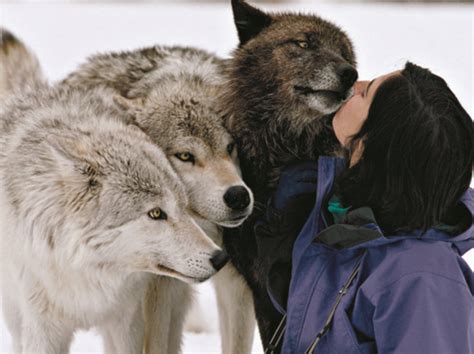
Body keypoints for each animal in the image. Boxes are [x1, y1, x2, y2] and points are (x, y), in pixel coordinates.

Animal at [0, 29, 228, 354]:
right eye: (156, 213)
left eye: (183, 207)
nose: (220, 258)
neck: (88, 270)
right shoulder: (42, 330)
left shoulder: (126, 322)